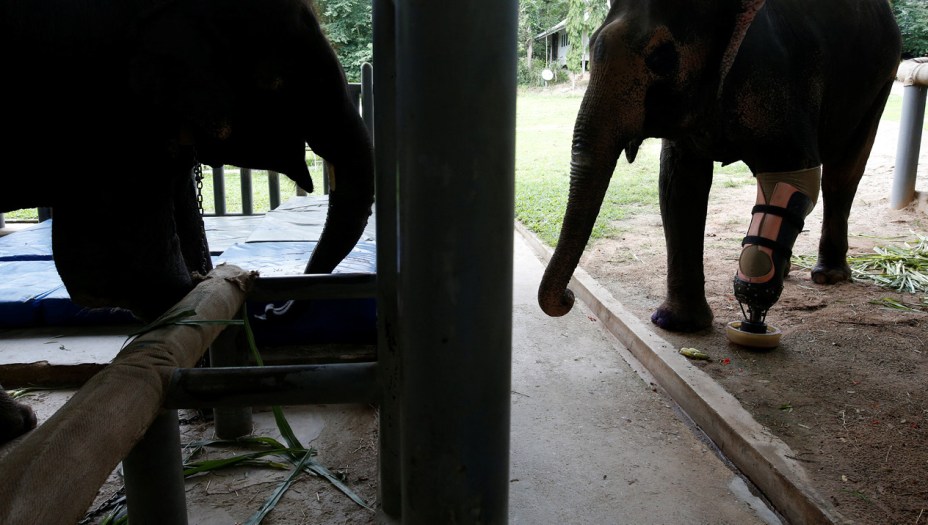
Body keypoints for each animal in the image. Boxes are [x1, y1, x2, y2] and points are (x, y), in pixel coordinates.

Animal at [536, 0, 900, 340]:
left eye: (661, 58)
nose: (569, 297)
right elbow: (680, 183)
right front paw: (677, 326)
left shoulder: (777, 72)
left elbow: (794, 172)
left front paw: (752, 302)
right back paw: (787, 271)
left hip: (881, 80)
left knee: (843, 174)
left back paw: (827, 275)